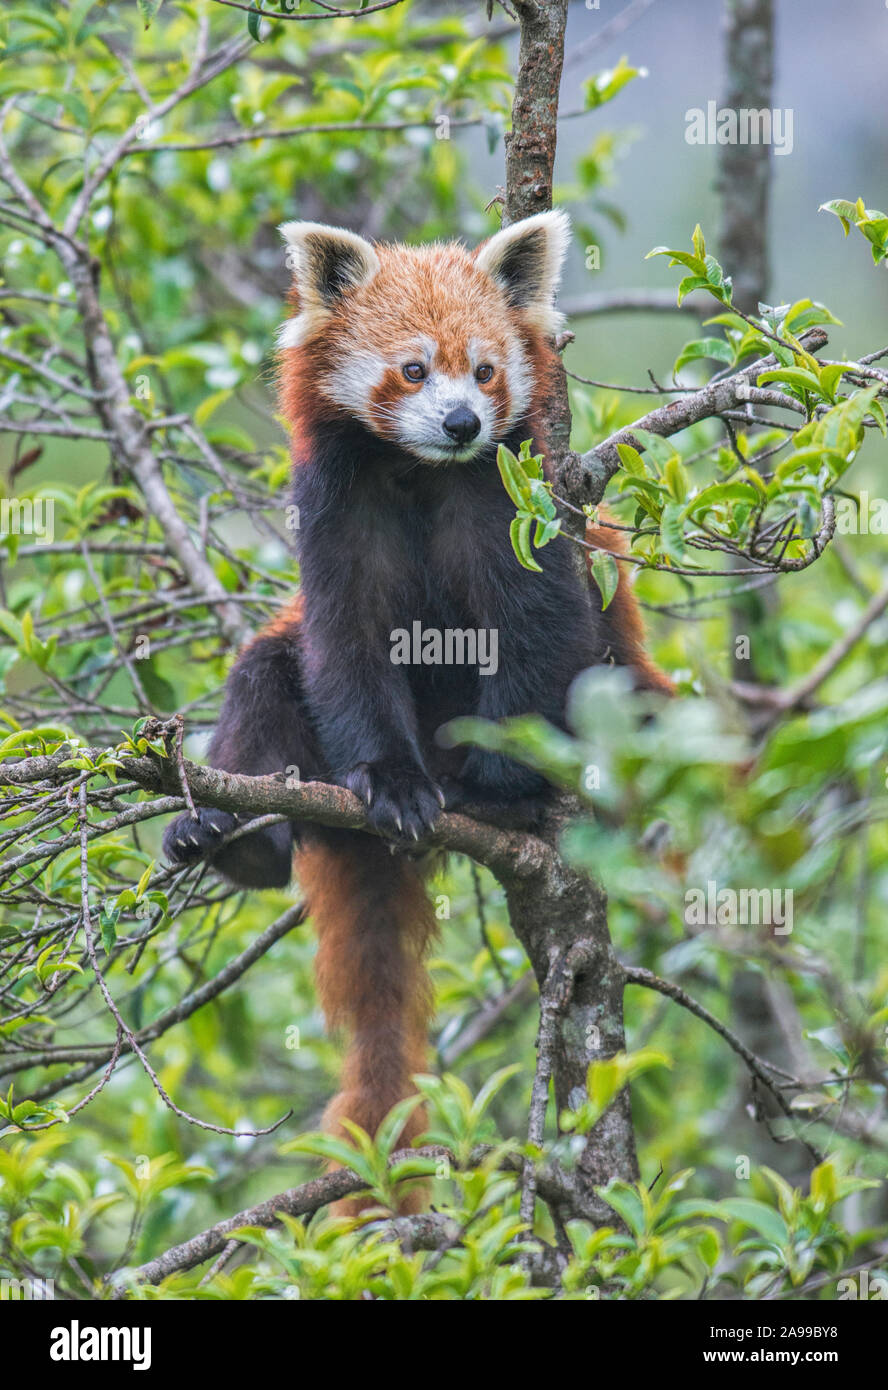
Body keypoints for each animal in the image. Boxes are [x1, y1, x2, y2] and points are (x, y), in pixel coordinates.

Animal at [163, 208, 669, 1217]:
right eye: (411, 370)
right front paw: (395, 787)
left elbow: (537, 638)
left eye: (485, 370)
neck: (414, 471)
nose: (463, 421)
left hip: (634, 688)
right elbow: (347, 651)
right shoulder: (333, 515)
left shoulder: (518, 505)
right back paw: (233, 840)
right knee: (265, 671)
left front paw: (494, 788)